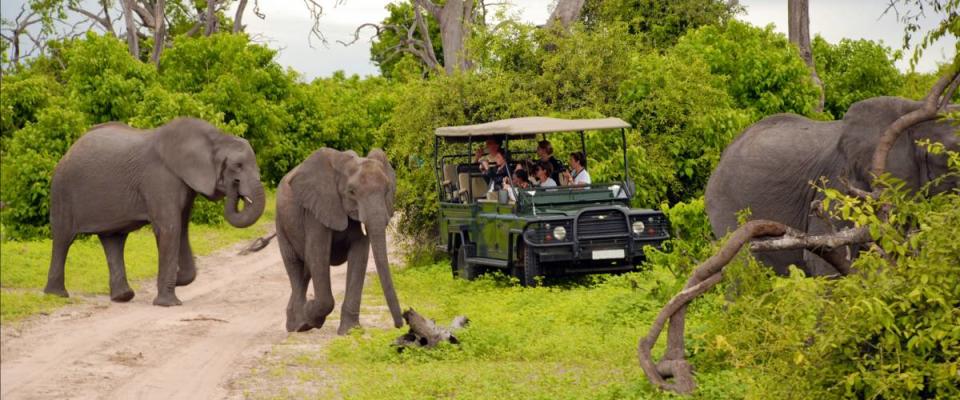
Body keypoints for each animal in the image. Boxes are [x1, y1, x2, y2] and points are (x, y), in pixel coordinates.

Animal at [43, 118, 264, 306]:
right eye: (237, 166)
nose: (235, 187)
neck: (215, 137)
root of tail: (69, 150)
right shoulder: (160, 179)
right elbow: (170, 229)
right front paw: (168, 303)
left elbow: (181, 229)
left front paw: (177, 280)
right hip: (62, 191)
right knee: (63, 238)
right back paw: (57, 295)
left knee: (113, 240)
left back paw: (123, 297)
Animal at [274, 147, 404, 334]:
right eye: (351, 192)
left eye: (387, 190)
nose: (400, 325)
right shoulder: (316, 209)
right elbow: (318, 253)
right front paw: (311, 314)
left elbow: (360, 254)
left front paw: (350, 331)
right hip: (281, 223)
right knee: (295, 267)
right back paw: (300, 325)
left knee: (305, 271)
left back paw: (296, 322)